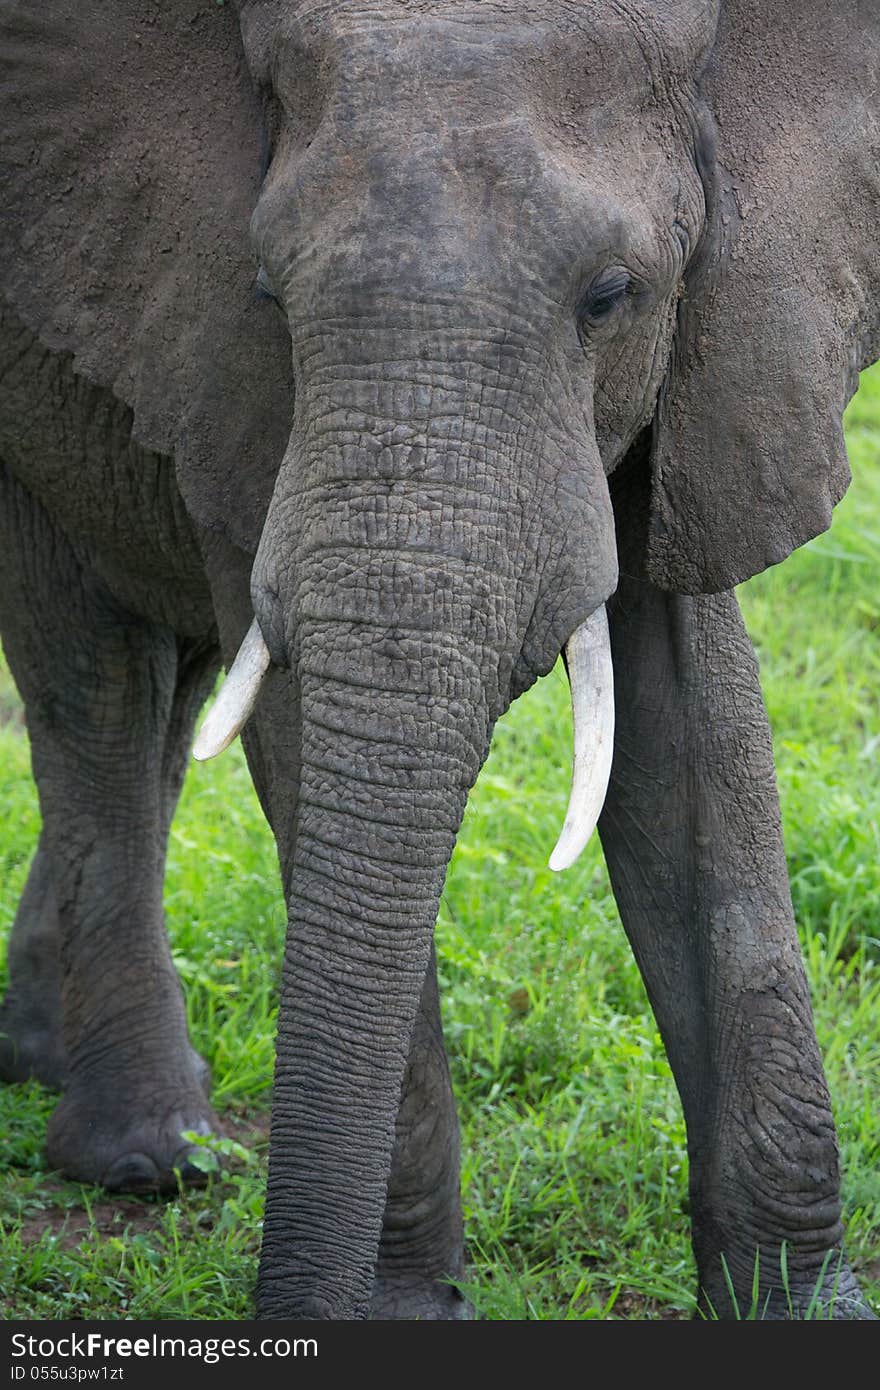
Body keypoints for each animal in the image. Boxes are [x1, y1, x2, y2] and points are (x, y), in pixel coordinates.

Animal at [0, 0, 873, 1317]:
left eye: (611, 296)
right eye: (268, 289)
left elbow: (698, 748)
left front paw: (803, 1308)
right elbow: (302, 729)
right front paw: (399, 1311)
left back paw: (46, 1061)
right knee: (93, 687)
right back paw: (147, 1154)